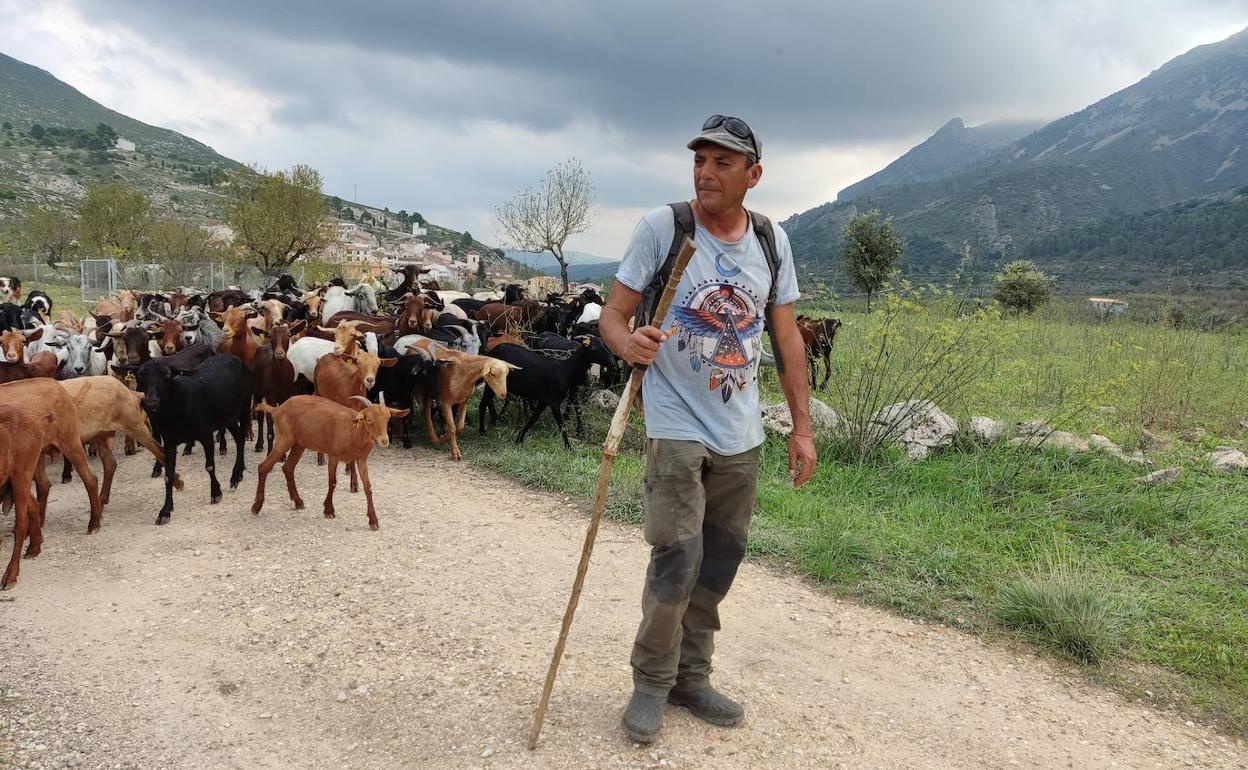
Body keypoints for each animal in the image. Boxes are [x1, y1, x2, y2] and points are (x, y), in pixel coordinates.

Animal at [136, 351, 253, 521]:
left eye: (167, 375)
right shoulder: (170, 442)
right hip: (227, 415)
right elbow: (168, 476)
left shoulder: (206, 434)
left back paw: (236, 475)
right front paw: (165, 510)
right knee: (238, 438)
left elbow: (210, 466)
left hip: (245, 404)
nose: (151, 402)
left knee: (242, 437)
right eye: (141, 375)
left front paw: (215, 493)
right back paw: (238, 473)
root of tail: (232, 356)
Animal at [249, 396, 409, 529]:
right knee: (263, 467)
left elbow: (368, 487)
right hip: (284, 439)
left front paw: (373, 520)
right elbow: (332, 482)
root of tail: (277, 409)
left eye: (388, 418)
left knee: (288, 468)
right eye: (368, 419)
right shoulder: (333, 456)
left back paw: (298, 502)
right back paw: (256, 506)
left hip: (299, 444)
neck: (354, 432)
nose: (384, 440)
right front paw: (329, 510)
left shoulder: (361, 459)